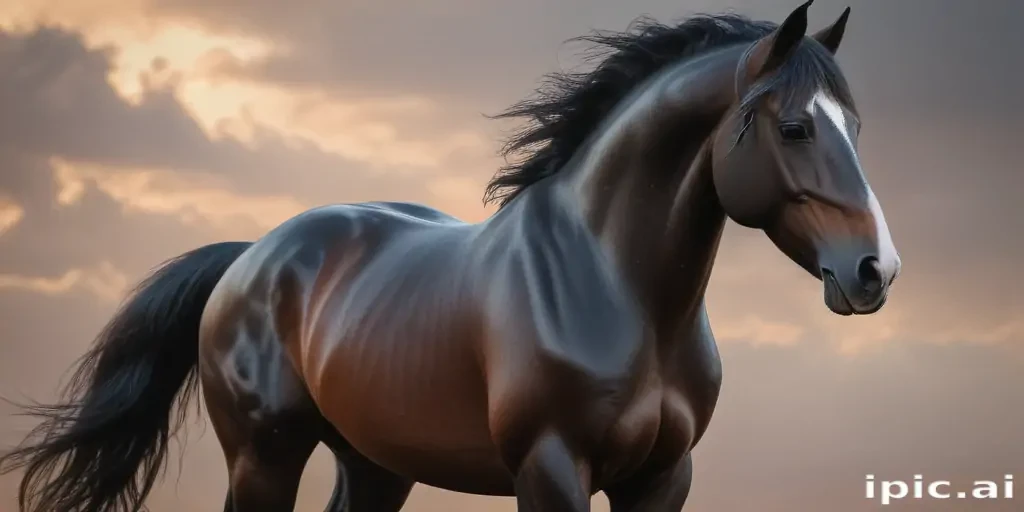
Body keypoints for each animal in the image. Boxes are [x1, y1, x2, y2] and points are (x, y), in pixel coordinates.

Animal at [0, 2, 901, 511]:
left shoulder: (661, 478)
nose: (875, 271)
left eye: (856, 126)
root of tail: (250, 258)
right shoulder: (551, 469)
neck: (614, 289)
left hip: (373, 463)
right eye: (795, 127)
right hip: (264, 455)